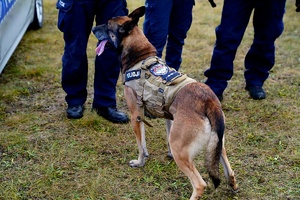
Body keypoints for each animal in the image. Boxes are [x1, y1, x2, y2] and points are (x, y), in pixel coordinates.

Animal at [92, 5, 238, 198]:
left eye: (107, 26)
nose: (93, 28)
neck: (139, 56)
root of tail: (209, 101)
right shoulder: (169, 117)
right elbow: (162, 137)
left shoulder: (136, 115)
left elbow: (141, 145)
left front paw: (140, 162)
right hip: (216, 143)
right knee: (229, 168)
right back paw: (233, 185)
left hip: (181, 150)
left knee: (200, 184)